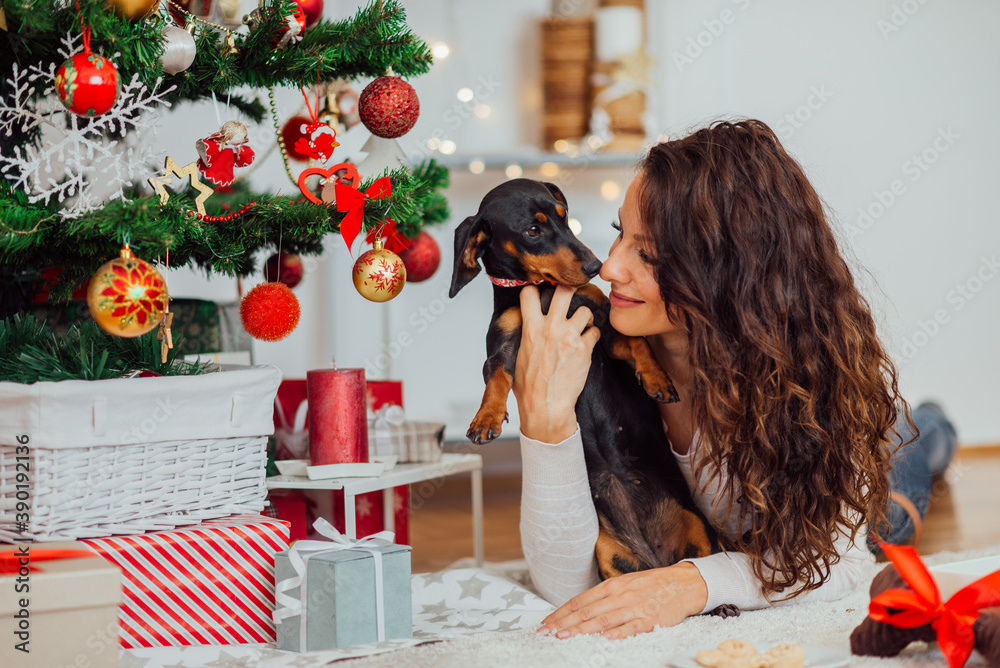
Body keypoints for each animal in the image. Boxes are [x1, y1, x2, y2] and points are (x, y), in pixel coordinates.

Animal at [450, 177, 732, 584]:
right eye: (532, 231)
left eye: (565, 217)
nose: (595, 266)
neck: (547, 291)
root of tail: (657, 559)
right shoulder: (502, 347)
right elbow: (497, 378)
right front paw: (485, 419)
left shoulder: (604, 327)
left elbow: (636, 340)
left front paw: (657, 379)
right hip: (607, 554)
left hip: (698, 529)